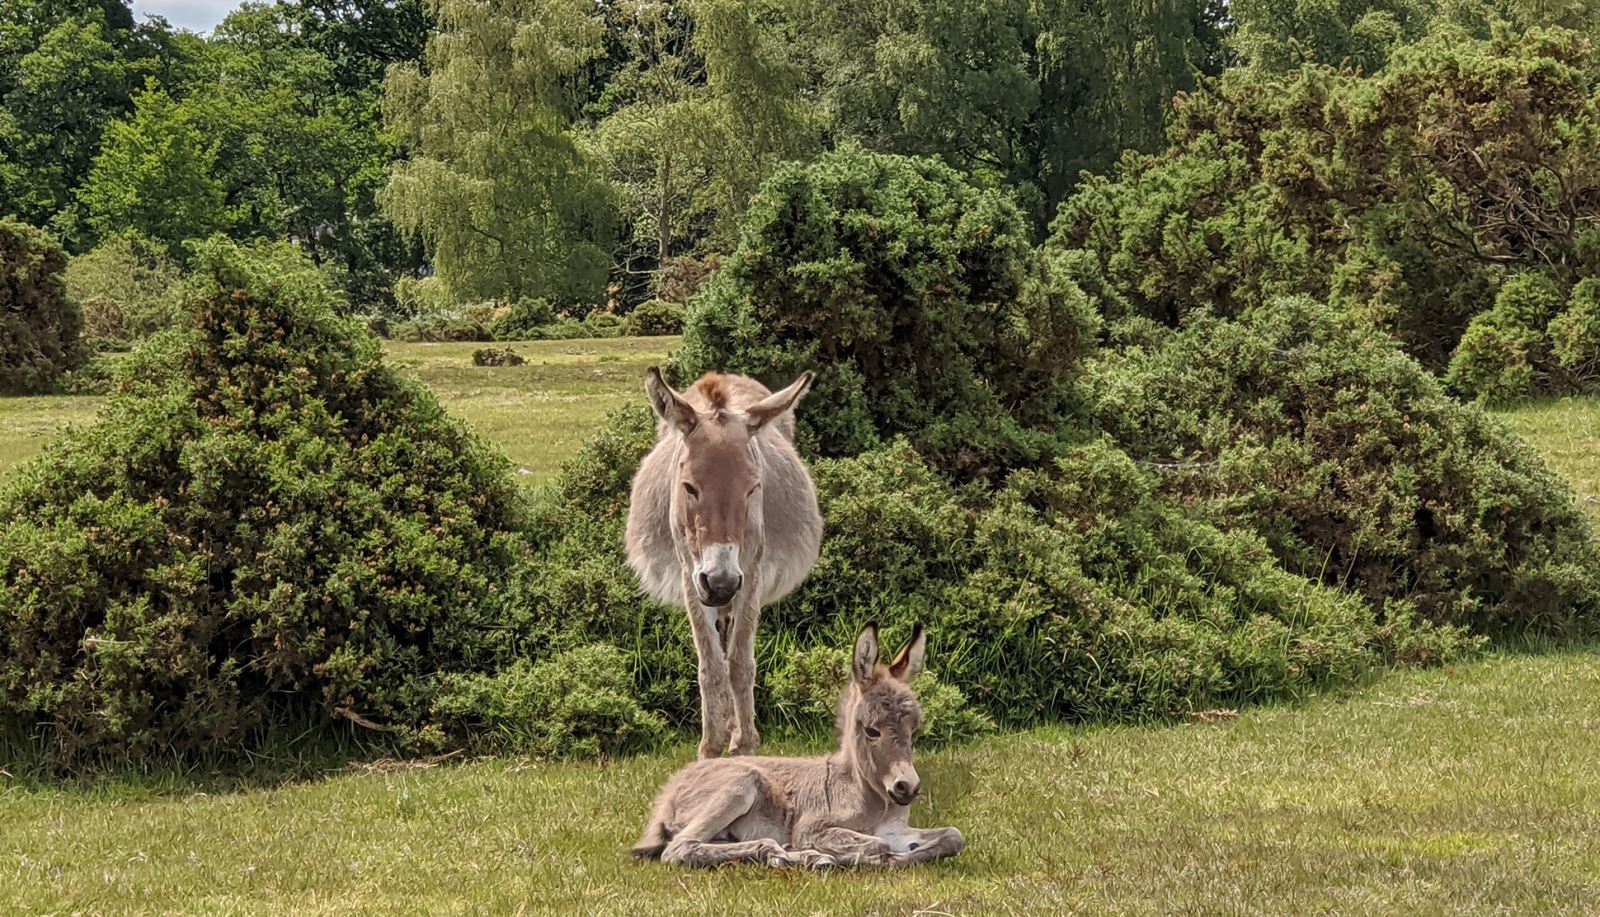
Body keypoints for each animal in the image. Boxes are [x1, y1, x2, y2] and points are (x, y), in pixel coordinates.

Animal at [633, 620, 960, 864]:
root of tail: (669, 791)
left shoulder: (895, 829)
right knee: (681, 847)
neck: (867, 794)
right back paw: (801, 856)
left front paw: (909, 854)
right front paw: (856, 858)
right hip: (739, 785)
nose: (907, 788)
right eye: (871, 731)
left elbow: (954, 836)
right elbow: (876, 846)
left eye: (915, 731)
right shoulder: (812, 827)